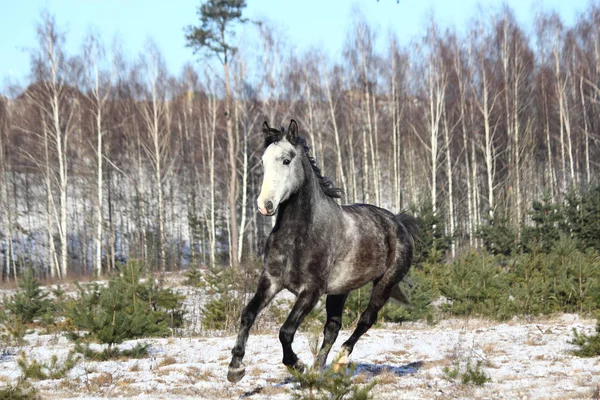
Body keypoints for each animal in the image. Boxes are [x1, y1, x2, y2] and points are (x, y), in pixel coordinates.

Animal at [227, 119, 420, 384]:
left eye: (286, 160)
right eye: (263, 161)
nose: (265, 206)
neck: (300, 235)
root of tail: (398, 222)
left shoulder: (311, 291)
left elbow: (285, 331)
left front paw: (296, 365)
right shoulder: (271, 281)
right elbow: (247, 314)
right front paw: (235, 368)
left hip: (385, 284)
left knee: (365, 320)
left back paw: (339, 361)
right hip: (340, 290)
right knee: (332, 328)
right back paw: (318, 371)